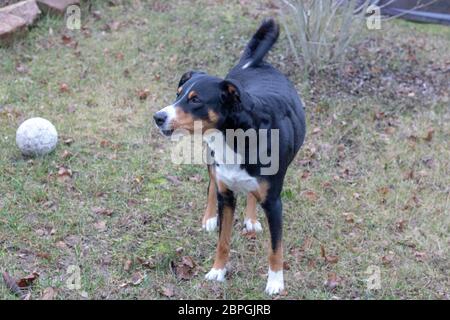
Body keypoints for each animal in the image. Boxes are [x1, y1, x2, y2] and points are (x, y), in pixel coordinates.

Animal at [154, 18, 306, 296]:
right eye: (178, 93)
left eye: (195, 100)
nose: (158, 117)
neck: (236, 136)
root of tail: (254, 63)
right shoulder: (226, 195)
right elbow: (222, 241)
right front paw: (218, 271)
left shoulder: (274, 202)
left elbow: (275, 249)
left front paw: (275, 282)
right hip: (211, 160)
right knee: (211, 183)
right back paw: (209, 218)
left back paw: (251, 218)